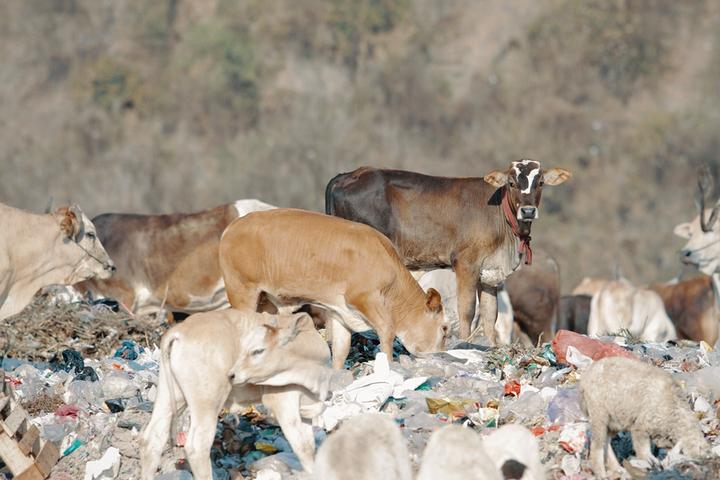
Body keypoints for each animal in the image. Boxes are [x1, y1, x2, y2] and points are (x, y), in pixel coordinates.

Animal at [139, 310, 334, 478]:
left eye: (257, 350)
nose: (232, 375)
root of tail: (180, 330)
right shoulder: (283, 403)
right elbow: (303, 448)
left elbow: (310, 446)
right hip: (208, 402)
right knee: (197, 446)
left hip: (170, 396)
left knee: (153, 439)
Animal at [217, 208, 448, 370]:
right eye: (445, 329)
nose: (440, 355)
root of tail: (234, 226)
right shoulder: (363, 299)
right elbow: (387, 329)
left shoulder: (339, 312)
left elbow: (340, 349)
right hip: (242, 292)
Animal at [324, 161, 572, 344]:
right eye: (511, 182)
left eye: (541, 182)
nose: (528, 210)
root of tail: (348, 175)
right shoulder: (466, 263)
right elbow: (468, 310)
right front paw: (465, 343)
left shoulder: (490, 273)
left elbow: (490, 314)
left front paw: (490, 346)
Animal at [576, 354, 704, 478]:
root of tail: (584, 378)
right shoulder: (642, 424)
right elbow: (642, 448)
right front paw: (650, 461)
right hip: (598, 410)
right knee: (597, 444)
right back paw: (601, 473)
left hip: (615, 417)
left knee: (606, 441)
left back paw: (618, 468)